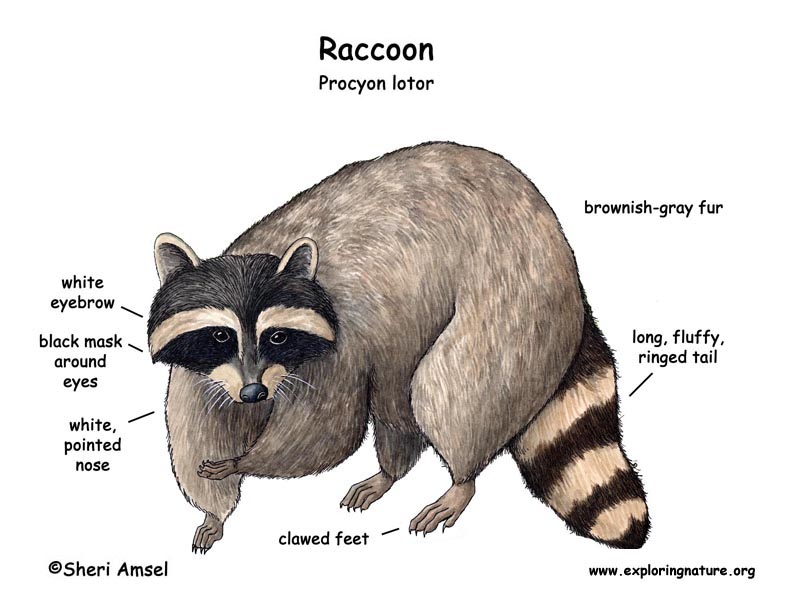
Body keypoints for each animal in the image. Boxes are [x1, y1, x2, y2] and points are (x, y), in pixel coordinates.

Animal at [148, 142, 649, 553]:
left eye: (277, 336)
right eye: (220, 335)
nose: (254, 394)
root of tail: (561, 247)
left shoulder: (338, 351)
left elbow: (326, 434)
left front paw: (245, 461)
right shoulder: (201, 376)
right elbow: (197, 432)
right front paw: (215, 512)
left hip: (513, 299)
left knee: (447, 391)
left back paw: (461, 480)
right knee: (395, 402)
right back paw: (390, 472)